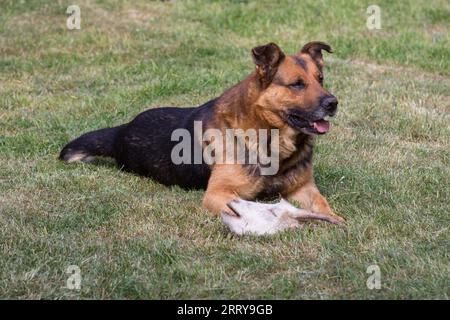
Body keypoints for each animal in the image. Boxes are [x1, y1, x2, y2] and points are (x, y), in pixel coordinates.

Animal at [60, 41, 344, 234]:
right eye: (297, 84)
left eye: (320, 79)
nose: (333, 103)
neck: (270, 136)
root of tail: (122, 129)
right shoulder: (218, 194)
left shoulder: (303, 188)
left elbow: (323, 204)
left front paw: (336, 220)